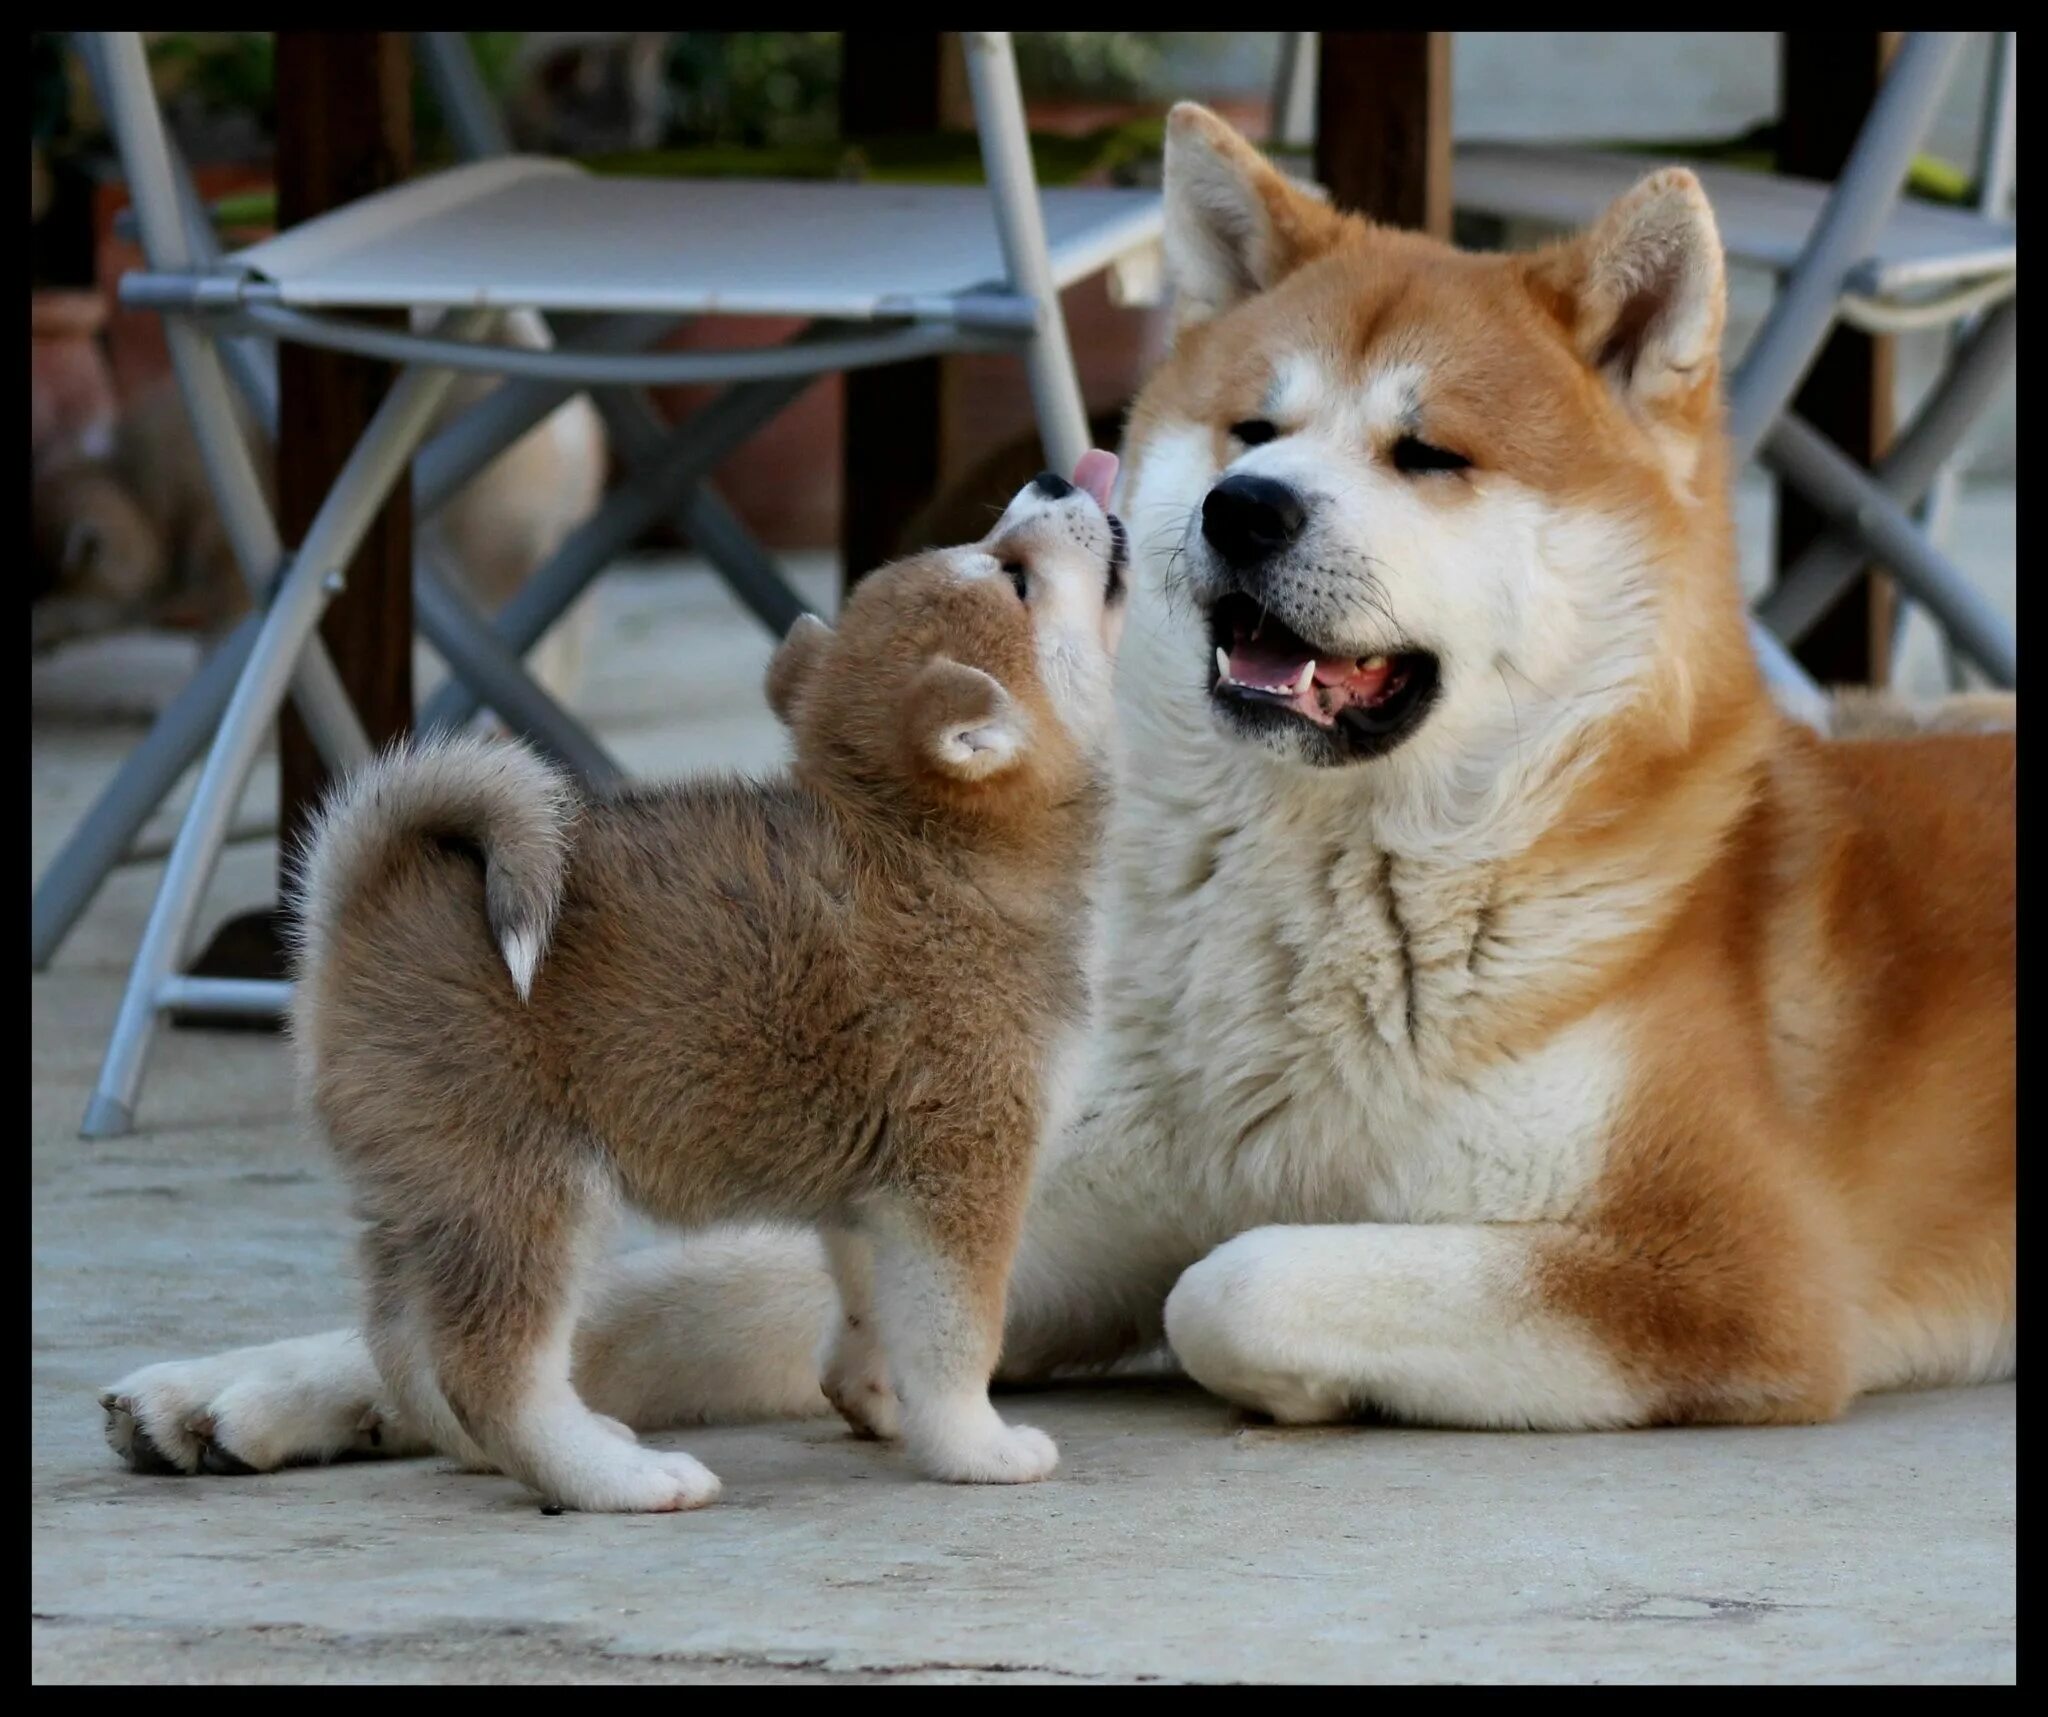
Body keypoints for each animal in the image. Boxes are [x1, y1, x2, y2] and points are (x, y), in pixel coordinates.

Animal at [99, 103, 2015, 1475]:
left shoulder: (1721, 1273)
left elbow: (1234, 1274)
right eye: (1253, 430)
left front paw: (1285, 1376)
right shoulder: (1013, 1186)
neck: (1314, 915)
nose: (1245, 512)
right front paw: (269, 1380)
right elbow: (653, 1300)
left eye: (1428, 455)